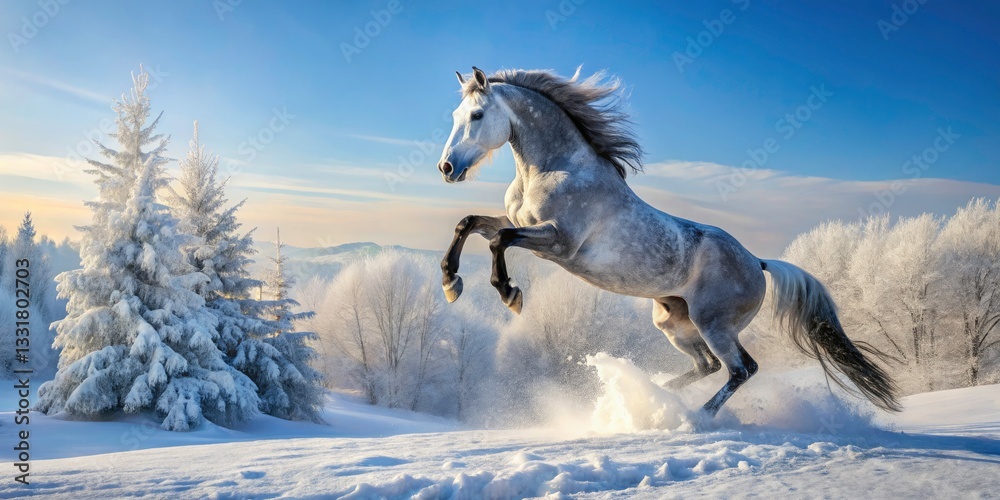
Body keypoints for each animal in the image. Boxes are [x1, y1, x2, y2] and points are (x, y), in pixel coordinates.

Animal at [436, 66, 901, 416]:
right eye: (456, 114)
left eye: (477, 115)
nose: (447, 167)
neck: (556, 169)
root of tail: (758, 262)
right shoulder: (516, 223)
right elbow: (470, 223)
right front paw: (450, 283)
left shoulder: (559, 243)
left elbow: (501, 241)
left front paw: (509, 293)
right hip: (675, 324)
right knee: (708, 365)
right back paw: (654, 394)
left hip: (715, 324)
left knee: (742, 369)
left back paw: (696, 417)